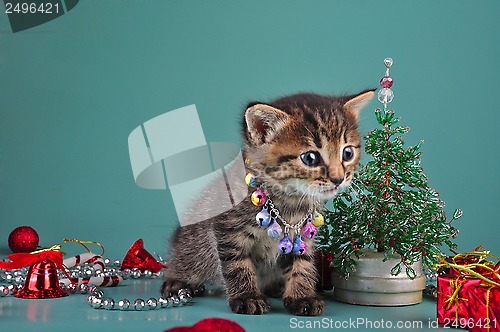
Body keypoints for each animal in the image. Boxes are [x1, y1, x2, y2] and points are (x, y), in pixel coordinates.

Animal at [162, 89, 374, 316]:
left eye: (348, 153)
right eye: (310, 158)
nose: (338, 178)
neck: (290, 202)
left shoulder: (304, 237)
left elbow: (303, 264)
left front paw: (302, 296)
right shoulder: (227, 229)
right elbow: (237, 264)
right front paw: (247, 296)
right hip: (194, 246)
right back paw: (177, 280)